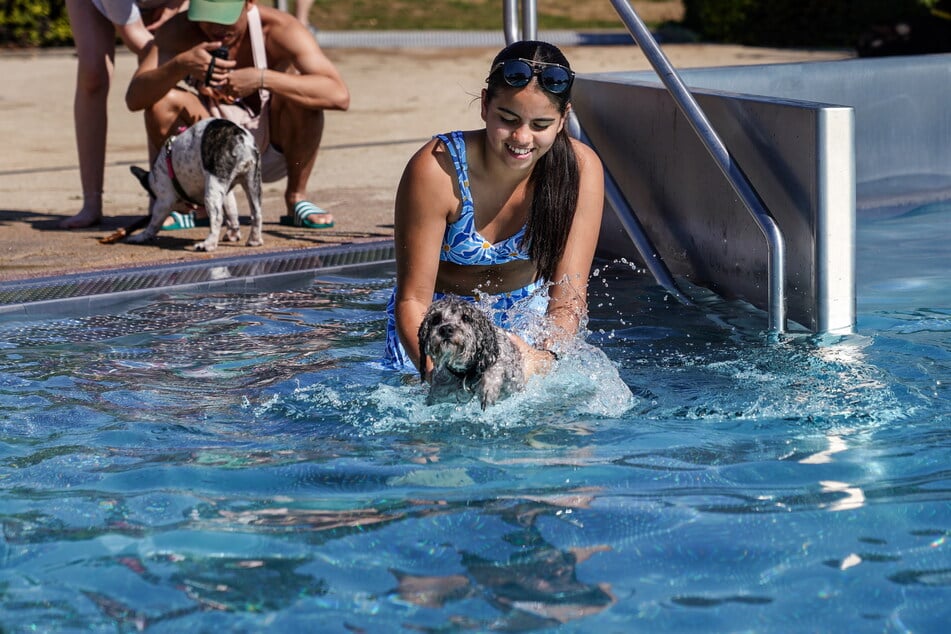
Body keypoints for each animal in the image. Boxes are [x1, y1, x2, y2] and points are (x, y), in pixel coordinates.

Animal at [125, 117, 264, 251]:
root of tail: (239, 137)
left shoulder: (163, 201)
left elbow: (153, 224)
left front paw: (140, 237)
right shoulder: (227, 192)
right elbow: (232, 213)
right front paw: (233, 234)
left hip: (211, 192)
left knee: (217, 218)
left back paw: (208, 245)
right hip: (252, 183)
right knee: (256, 212)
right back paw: (254, 240)